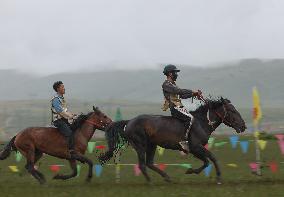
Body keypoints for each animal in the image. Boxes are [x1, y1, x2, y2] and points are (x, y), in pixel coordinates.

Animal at [98, 97, 245, 184]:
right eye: (232, 110)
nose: (243, 126)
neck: (202, 122)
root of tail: (129, 122)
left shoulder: (196, 150)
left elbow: (206, 161)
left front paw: (191, 171)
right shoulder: (196, 147)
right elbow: (211, 159)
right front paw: (218, 177)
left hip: (151, 145)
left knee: (149, 163)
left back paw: (166, 177)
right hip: (140, 145)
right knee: (142, 165)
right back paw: (150, 182)